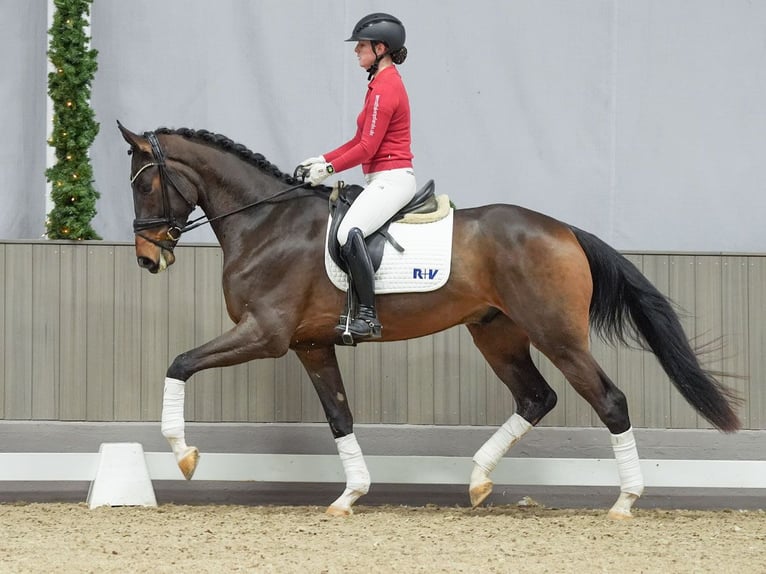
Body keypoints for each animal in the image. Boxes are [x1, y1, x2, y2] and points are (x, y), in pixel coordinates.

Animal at [117, 124, 740, 520]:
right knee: (536, 397)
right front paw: (350, 496)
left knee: (610, 401)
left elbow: (179, 363)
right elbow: (340, 416)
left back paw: (625, 502)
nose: (147, 258)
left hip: (557, 335)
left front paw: (184, 455)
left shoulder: (266, 335)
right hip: (496, 332)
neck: (267, 223)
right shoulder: (309, 344)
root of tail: (564, 229)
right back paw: (479, 480)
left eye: (144, 182)